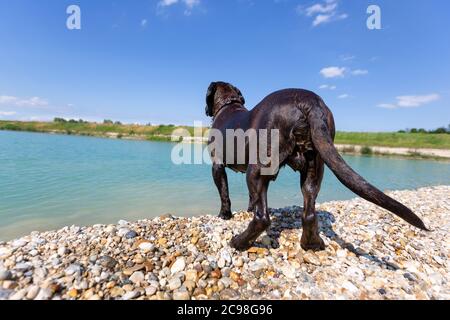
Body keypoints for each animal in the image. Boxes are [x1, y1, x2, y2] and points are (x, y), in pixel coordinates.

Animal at [206, 82, 428, 252]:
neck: (228, 105)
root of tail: (309, 102)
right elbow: (250, 199)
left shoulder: (217, 166)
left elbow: (224, 194)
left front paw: (224, 215)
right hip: (314, 167)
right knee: (309, 213)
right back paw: (312, 244)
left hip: (257, 170)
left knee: (262, 218)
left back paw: (238, 242)